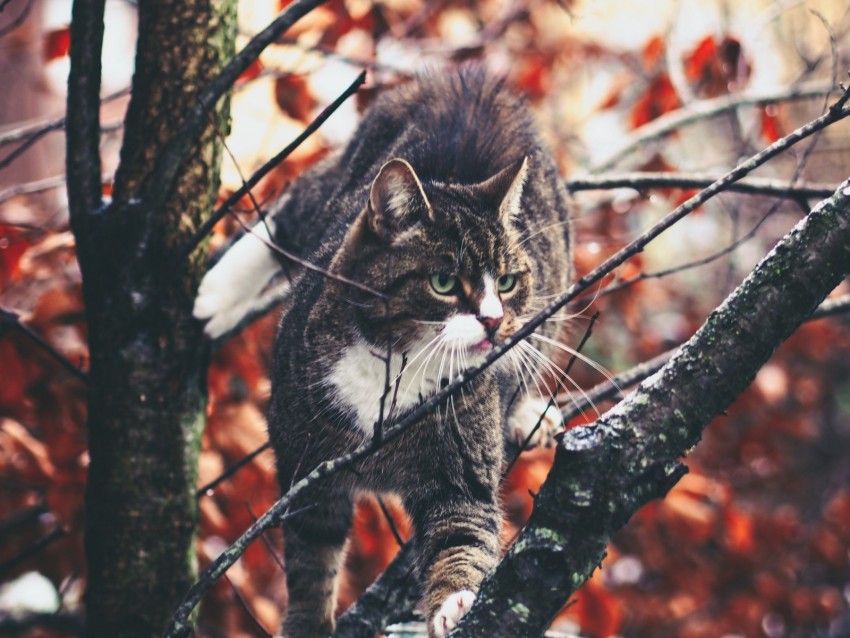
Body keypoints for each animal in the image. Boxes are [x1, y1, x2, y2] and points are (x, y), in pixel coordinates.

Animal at [194, 69, 568, 638]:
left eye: (506, 282)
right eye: (443, 282)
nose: (494, 320)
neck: (398, 365)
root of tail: (472, 82)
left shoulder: (461, 472)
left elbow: (463, 535)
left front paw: (458, 601)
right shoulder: (305, 465)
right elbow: (313, 559)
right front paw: (306, 624)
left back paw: (529, 413)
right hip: (337, 189)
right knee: (297, 200)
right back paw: (214, 296)